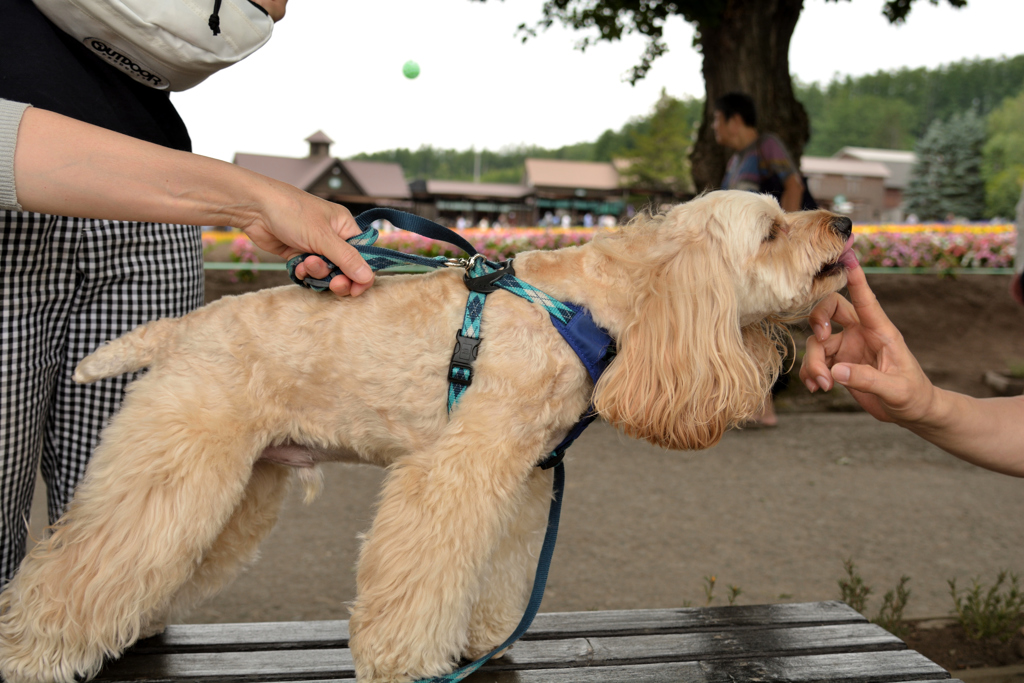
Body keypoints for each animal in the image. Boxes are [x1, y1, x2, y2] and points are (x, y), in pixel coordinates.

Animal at [0, 191, 856, 683]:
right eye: (772, 229)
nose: (845, 221)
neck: (593, 305)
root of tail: (183, 328)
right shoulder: (455, 470)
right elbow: (420, 577)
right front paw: (405, 660)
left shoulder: (522, 478)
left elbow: (497, 572)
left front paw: (484, 637)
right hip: (174, 471)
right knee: (68, 570)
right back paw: (32, 651)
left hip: (235, 488)